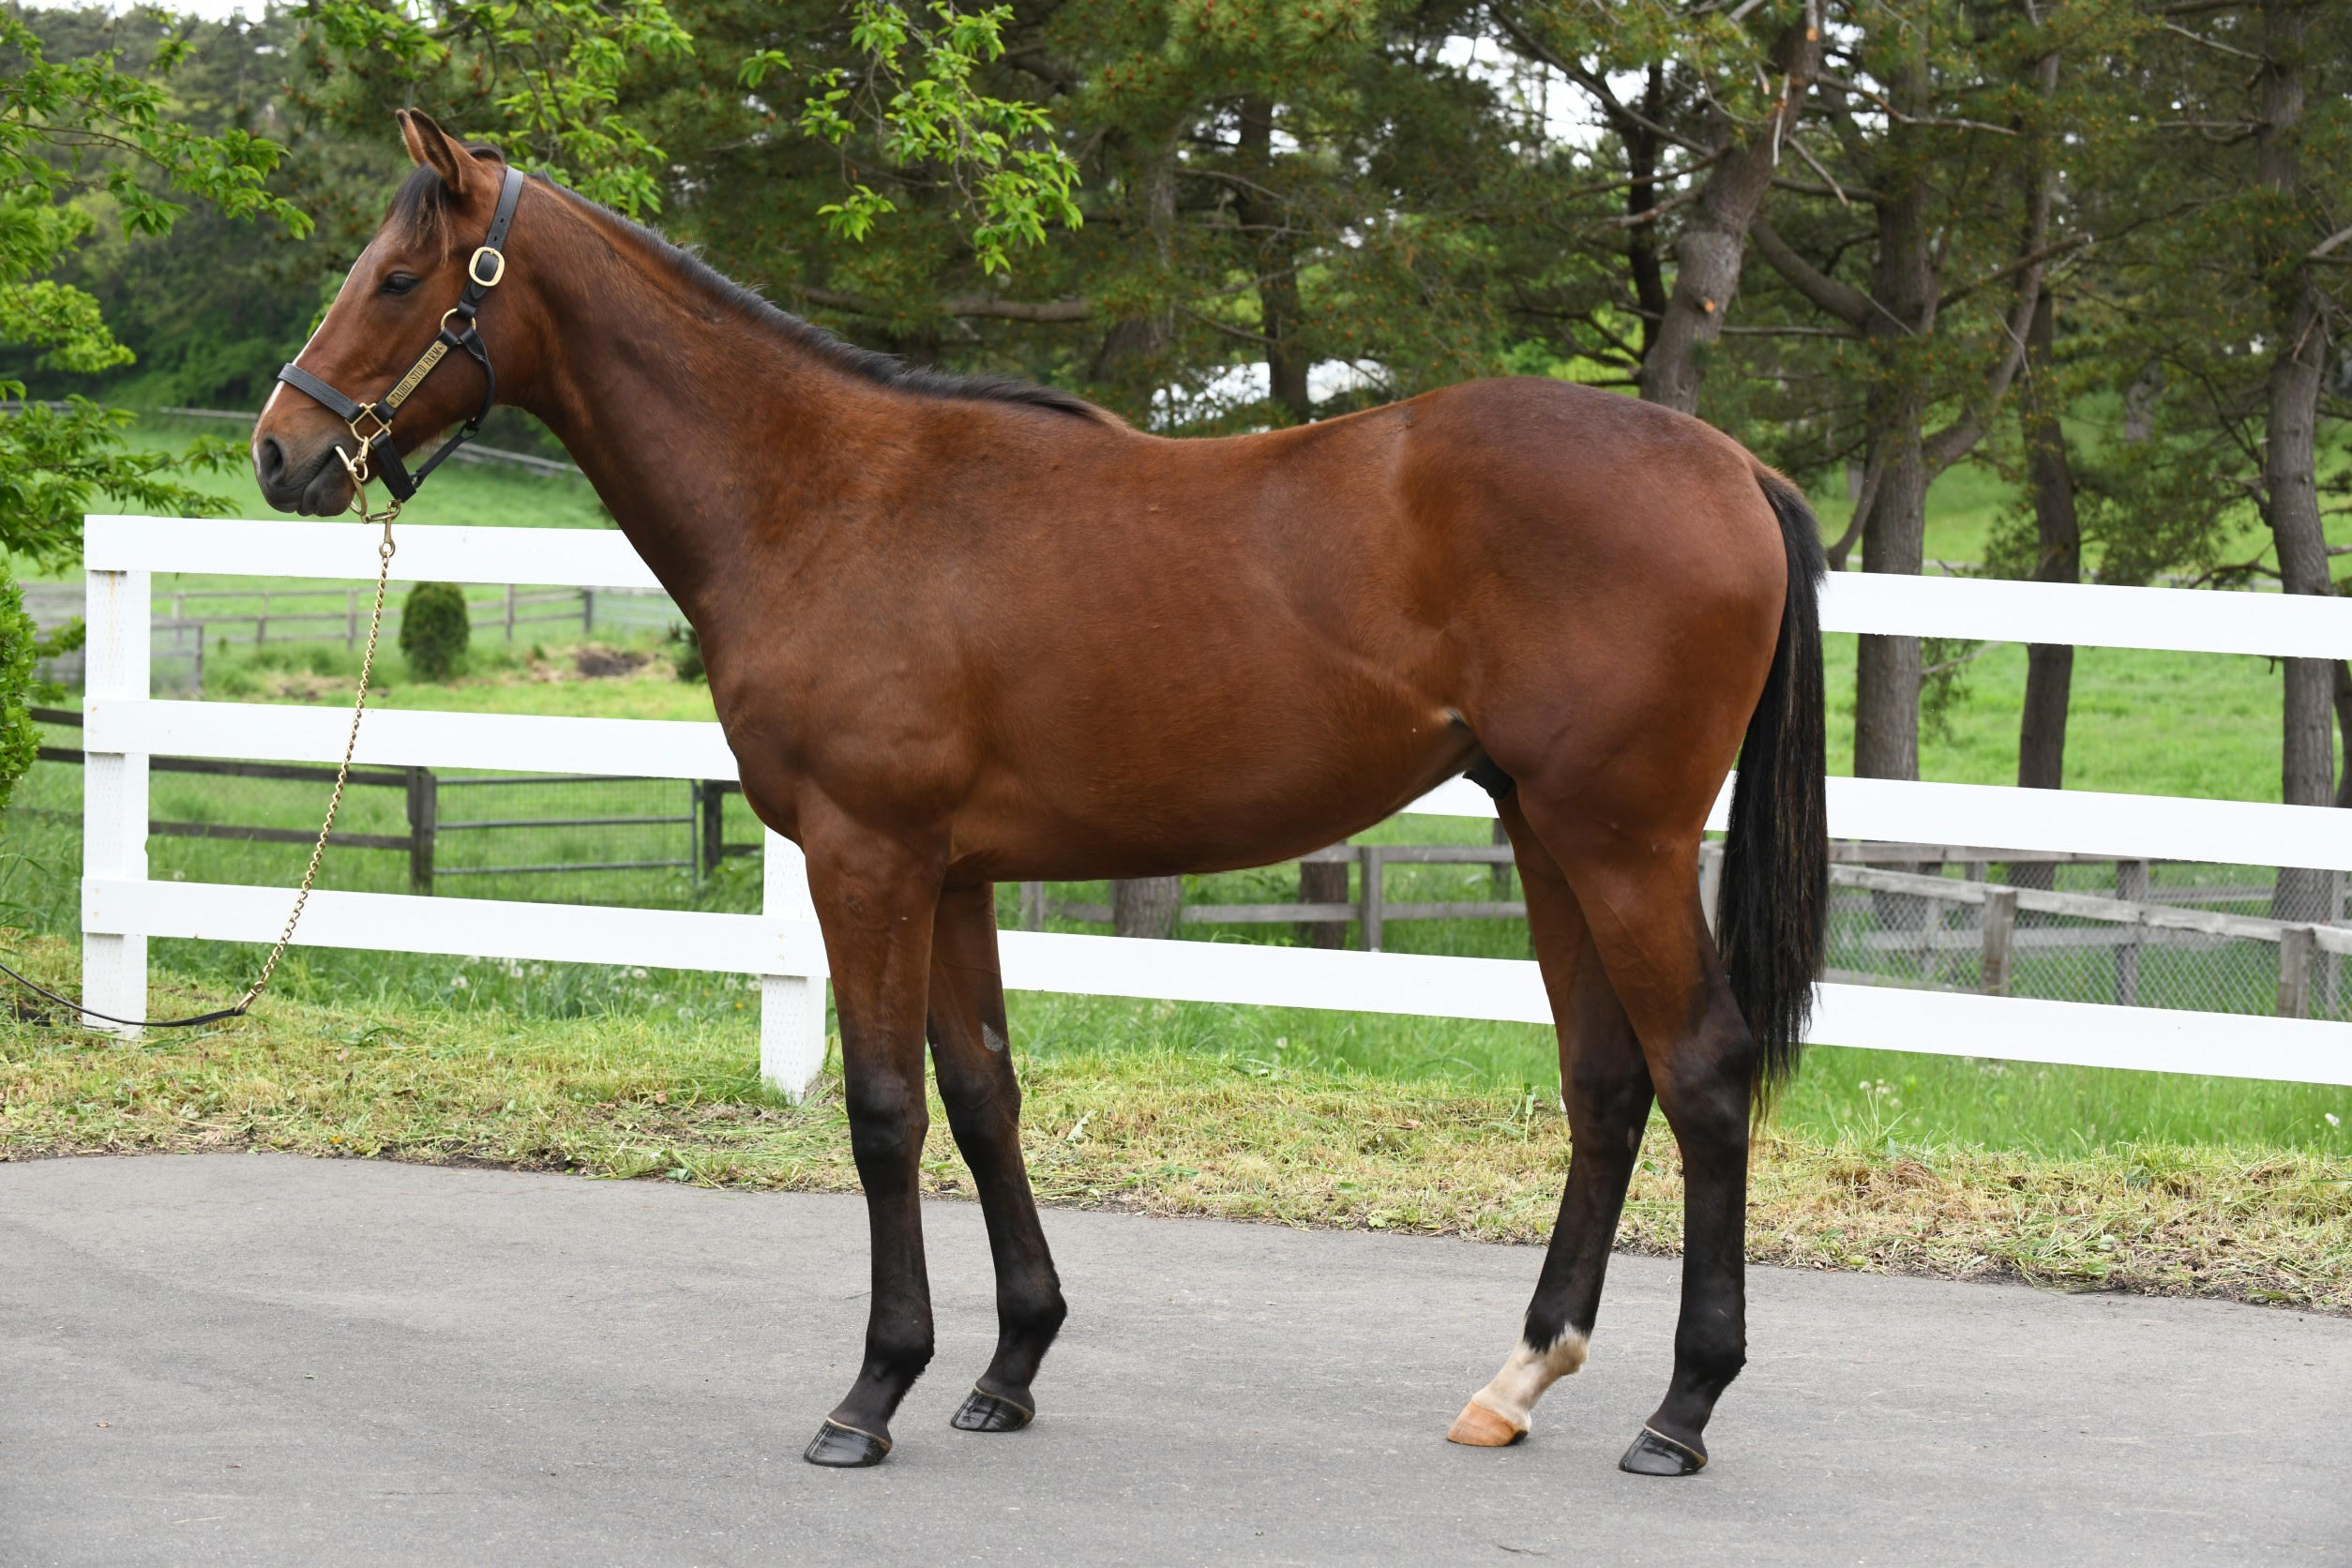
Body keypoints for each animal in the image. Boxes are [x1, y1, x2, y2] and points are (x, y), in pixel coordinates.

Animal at [262, 116, 1834, 1476]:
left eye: (400, 277)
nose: (285, 451)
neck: (823, 498)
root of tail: (1732, 468)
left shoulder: (867, 860)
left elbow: (885, 1110)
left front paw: (873, 1390)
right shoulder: (952, 873)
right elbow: (982, 1096)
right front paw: (1008, 1368)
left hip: (1621, 843)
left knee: (1701, 1074)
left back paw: (1682, 1411)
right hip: (1547, 833)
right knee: (1607, 1081)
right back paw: (1520, 1380)